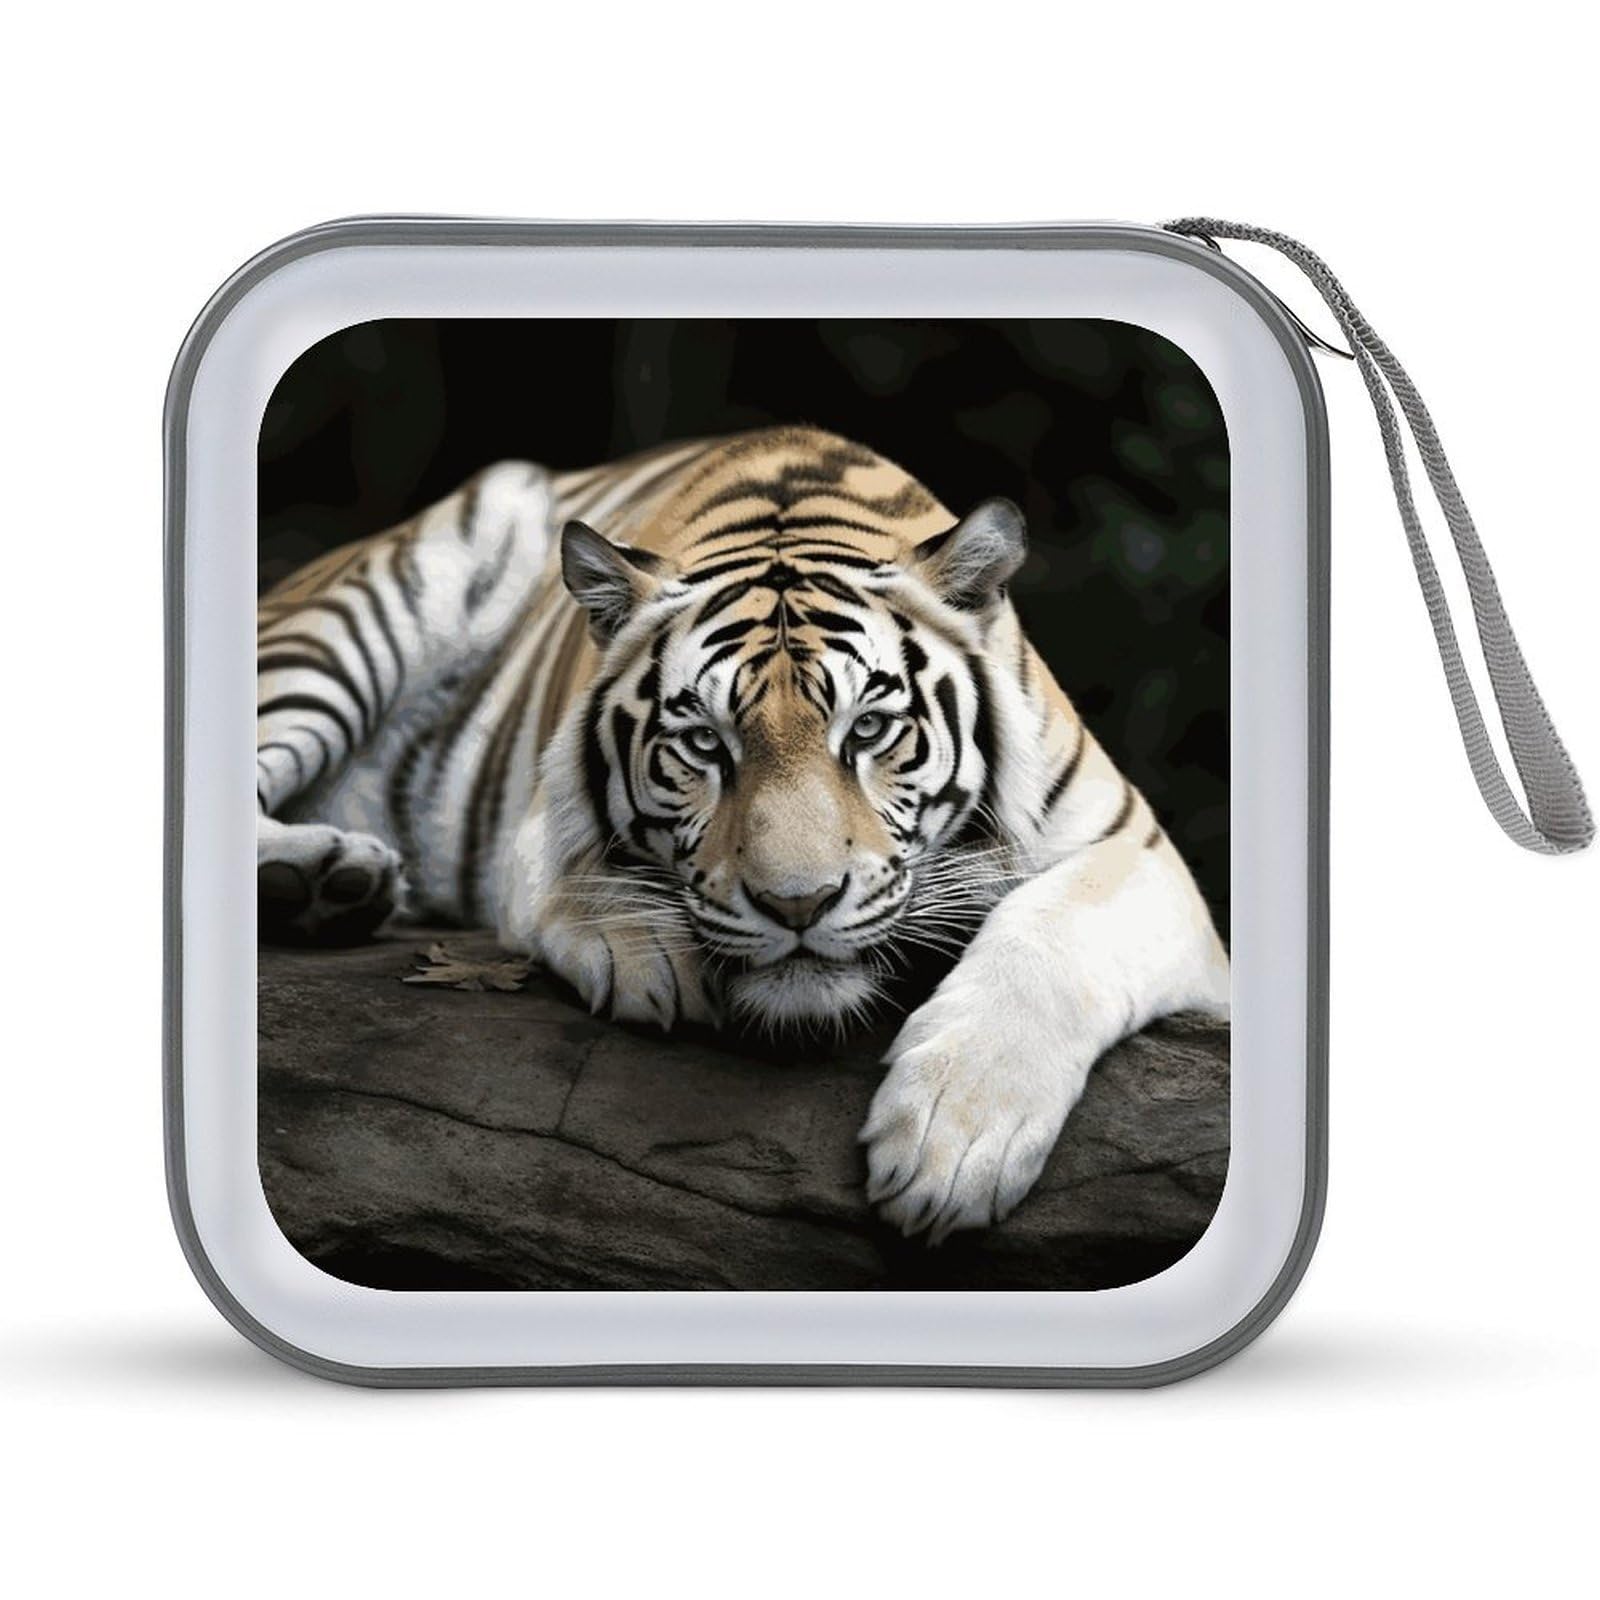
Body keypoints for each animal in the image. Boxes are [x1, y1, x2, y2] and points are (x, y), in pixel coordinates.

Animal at [257, 425, 1229, 1240]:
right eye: (703, 744)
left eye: (868, 730)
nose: (797, 905)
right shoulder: (537, 813)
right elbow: (577, 870)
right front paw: (646, 949)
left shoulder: (1138, 849)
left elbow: (1053, 933)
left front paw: (953, 1142)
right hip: (350, 617)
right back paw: (320, 879)